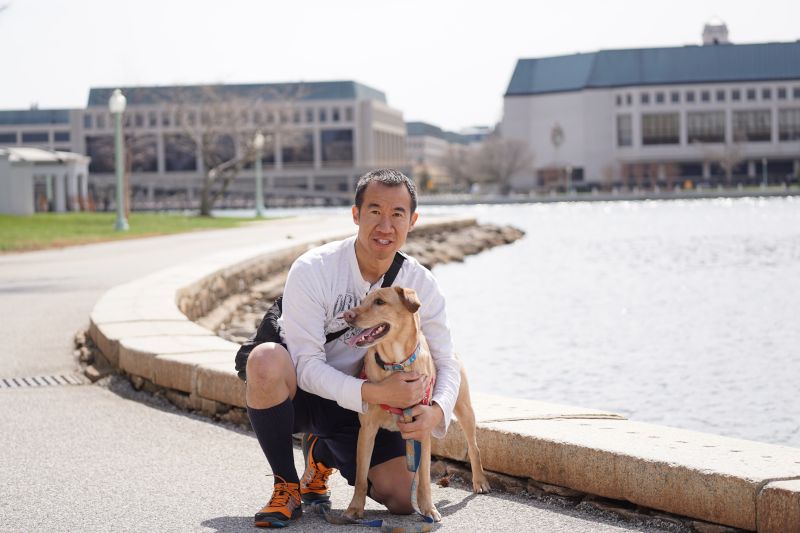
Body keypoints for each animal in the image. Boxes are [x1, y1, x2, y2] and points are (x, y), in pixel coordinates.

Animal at [340, 286, 488, 520]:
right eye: (362, 300)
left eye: (379, 302)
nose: (347, 315)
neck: (396, 364)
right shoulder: (367, 430)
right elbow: (361, 477)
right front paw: (355, 508)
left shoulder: (423, 428)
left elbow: (426, 479)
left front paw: (428, 508)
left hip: (463, 407)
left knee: (473, 447)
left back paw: (480, 481)